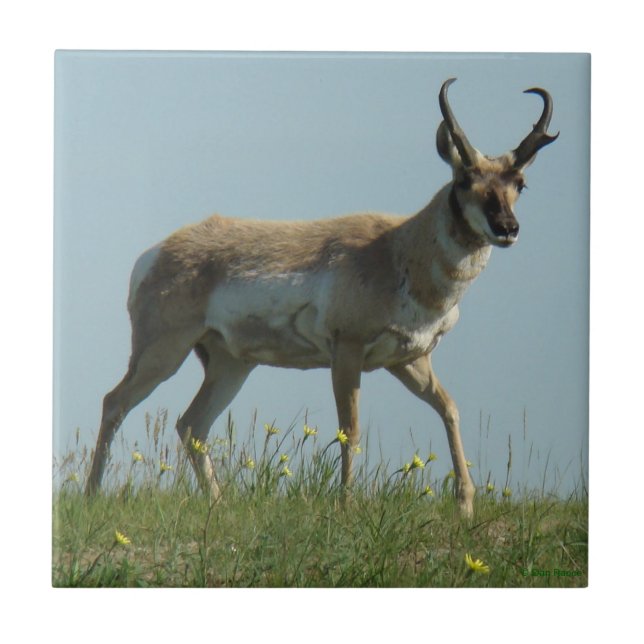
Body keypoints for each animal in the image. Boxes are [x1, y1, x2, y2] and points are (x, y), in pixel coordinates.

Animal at [85, 78, 557, 516]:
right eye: (463, 179)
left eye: (520, 183)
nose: (507, 228)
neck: (399, 248)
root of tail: (156, 252)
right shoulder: (347, 352)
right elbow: (351, 429)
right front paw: (347, 505)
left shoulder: (410, 361)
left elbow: (450, 409)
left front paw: (465, 506)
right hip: (163, 352)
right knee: (116, 402)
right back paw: (92, 495)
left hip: (230, 364)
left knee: (190, 425)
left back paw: (218, 504)